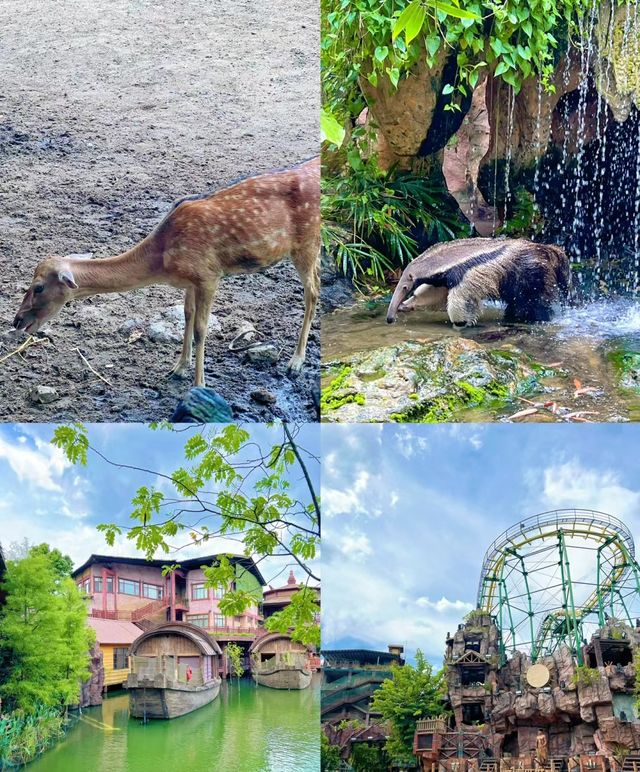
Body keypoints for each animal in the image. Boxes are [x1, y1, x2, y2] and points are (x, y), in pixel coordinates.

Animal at [15, 157, 322, 386]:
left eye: (39, 287)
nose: (17, 321)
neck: (163, 261)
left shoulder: (209, 275)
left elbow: (201, 328)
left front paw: (199, 385)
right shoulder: (189, 282)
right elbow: (186, 316)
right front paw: (178, 368)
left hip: (308, 243)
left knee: (313, 291)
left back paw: (295, 362)